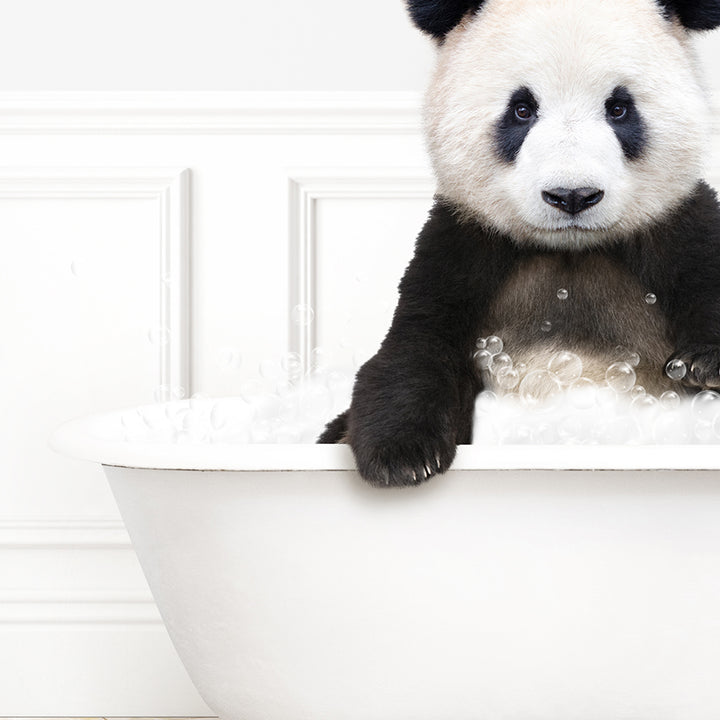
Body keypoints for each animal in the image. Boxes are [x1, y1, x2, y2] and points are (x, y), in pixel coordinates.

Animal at [320, 0, 720, 486]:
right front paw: (403, 457)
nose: (572, 195)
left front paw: (706, 365)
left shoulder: (678, 226)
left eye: (619, 108)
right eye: (523, 109)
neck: (570, 253)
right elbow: (416, 344)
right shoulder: (463, 244)